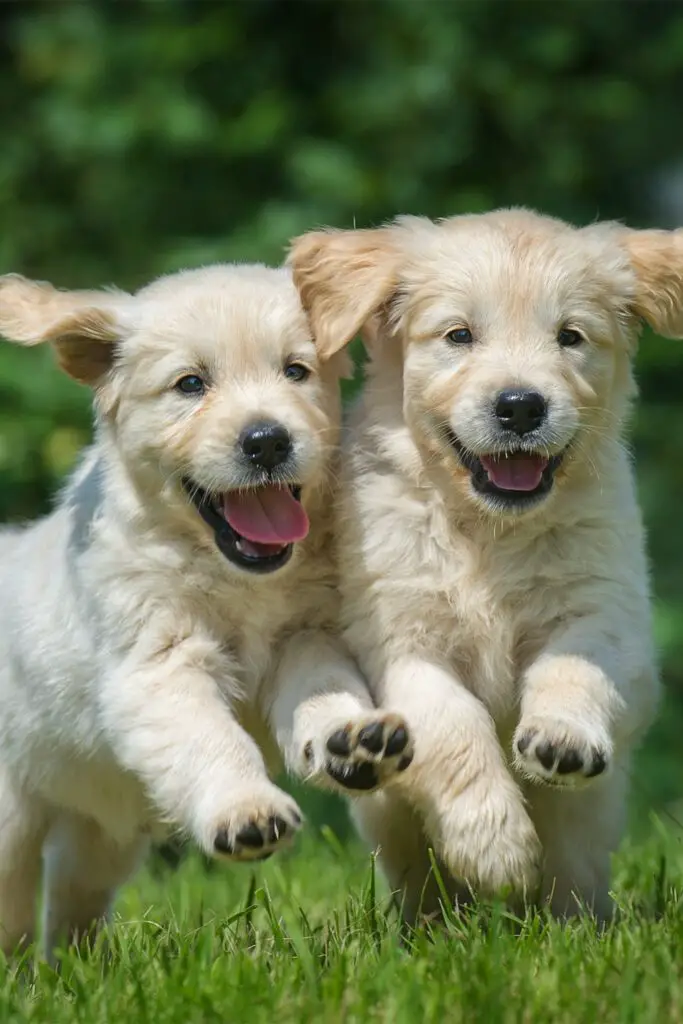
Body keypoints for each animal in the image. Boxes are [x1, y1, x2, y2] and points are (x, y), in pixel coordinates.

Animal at [0, 266, 411, 958]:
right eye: (190, 384)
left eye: (296, 371)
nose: (268, 440)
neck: (233, 573)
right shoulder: (159, 665)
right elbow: (212, 739)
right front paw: (246, 809)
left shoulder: (306, 633)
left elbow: (324, 686)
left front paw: (350, 738)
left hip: (99, 828)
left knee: (73, 895)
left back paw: (75, 966)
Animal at [290, 211, 679, 925]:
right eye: (459, 335)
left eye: (570, 336)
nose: (521, 405)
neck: (489, 531)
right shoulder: (399, 641)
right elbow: (453, 723)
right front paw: (494, 844)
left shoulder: (608, 615)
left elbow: (573, 667)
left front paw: (560, 737)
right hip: (390, 826)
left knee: (576, 873)